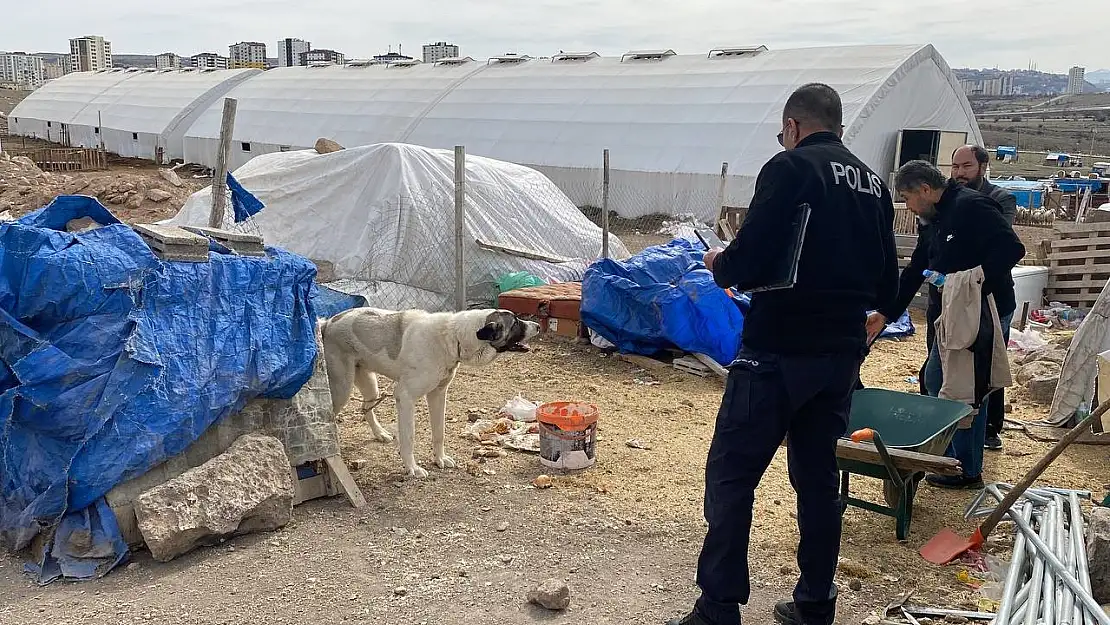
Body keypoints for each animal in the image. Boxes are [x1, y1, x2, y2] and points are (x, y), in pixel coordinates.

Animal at [319, 308, 539, 479]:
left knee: (365, 407)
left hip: (370, 385)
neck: (452, 337)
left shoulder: (438, 395)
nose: (537, 325)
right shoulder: (405, 397)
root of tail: (327, 323)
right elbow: (409, 438)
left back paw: (380, 434)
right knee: (331, 414)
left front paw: (439, 459)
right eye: (516, 323)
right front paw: (412, 468)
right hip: (342, 388)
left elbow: (439, 432)